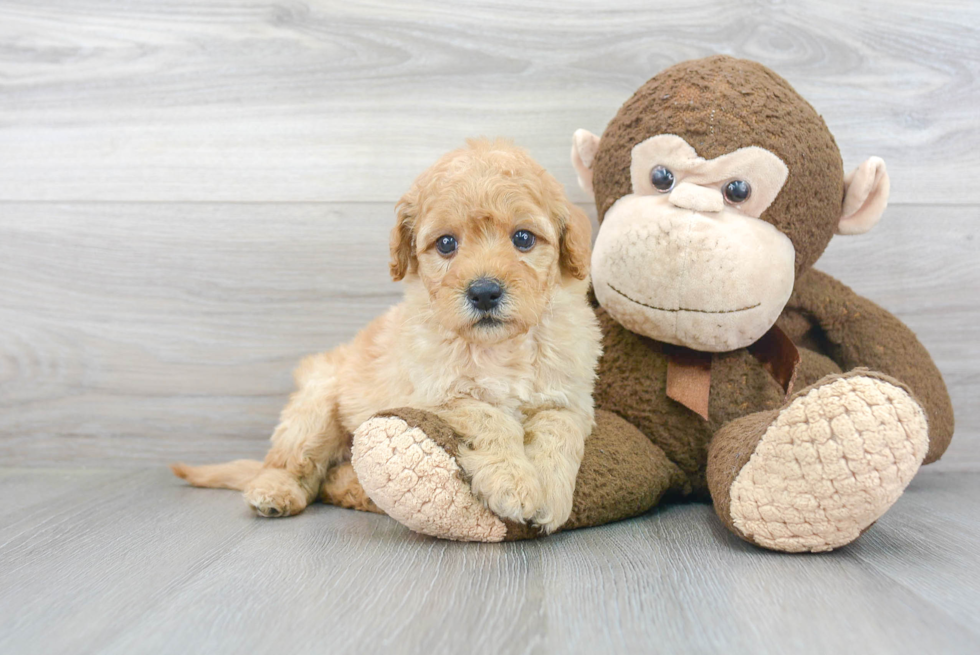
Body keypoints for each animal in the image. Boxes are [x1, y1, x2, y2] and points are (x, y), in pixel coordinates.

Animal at [175, 138, 600, 532]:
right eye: (446, 243)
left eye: (524, 238)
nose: (484, 292)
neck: (500, 348)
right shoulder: (436, 395)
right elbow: (489, 416)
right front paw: (514, 483)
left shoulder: (570, 398)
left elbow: (559, 432)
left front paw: (550, 491)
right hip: (314, 406)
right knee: (295, 466)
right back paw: (275, 491)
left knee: (329, 479)